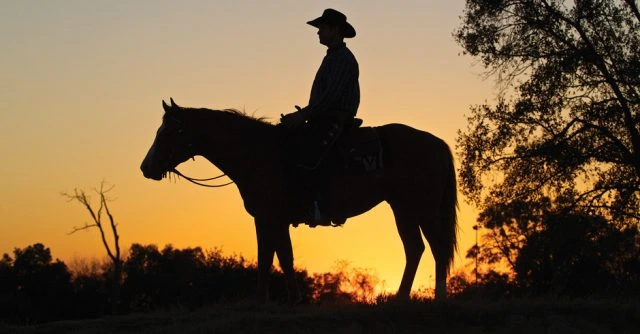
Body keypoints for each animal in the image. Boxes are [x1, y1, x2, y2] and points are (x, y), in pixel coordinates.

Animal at [142, 98, 458, 302]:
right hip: (403, 208)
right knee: (415, 248)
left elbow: (269, 257)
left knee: (438, 246)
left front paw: (266, 301)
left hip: (425, 208)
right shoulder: (274, 219)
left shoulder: (268, 217)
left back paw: (439, 297)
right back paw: (400, 298)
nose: (146, 168)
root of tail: (437, 143)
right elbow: (280, 257)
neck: (258, 154)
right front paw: (286, 299)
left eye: (168, 132)